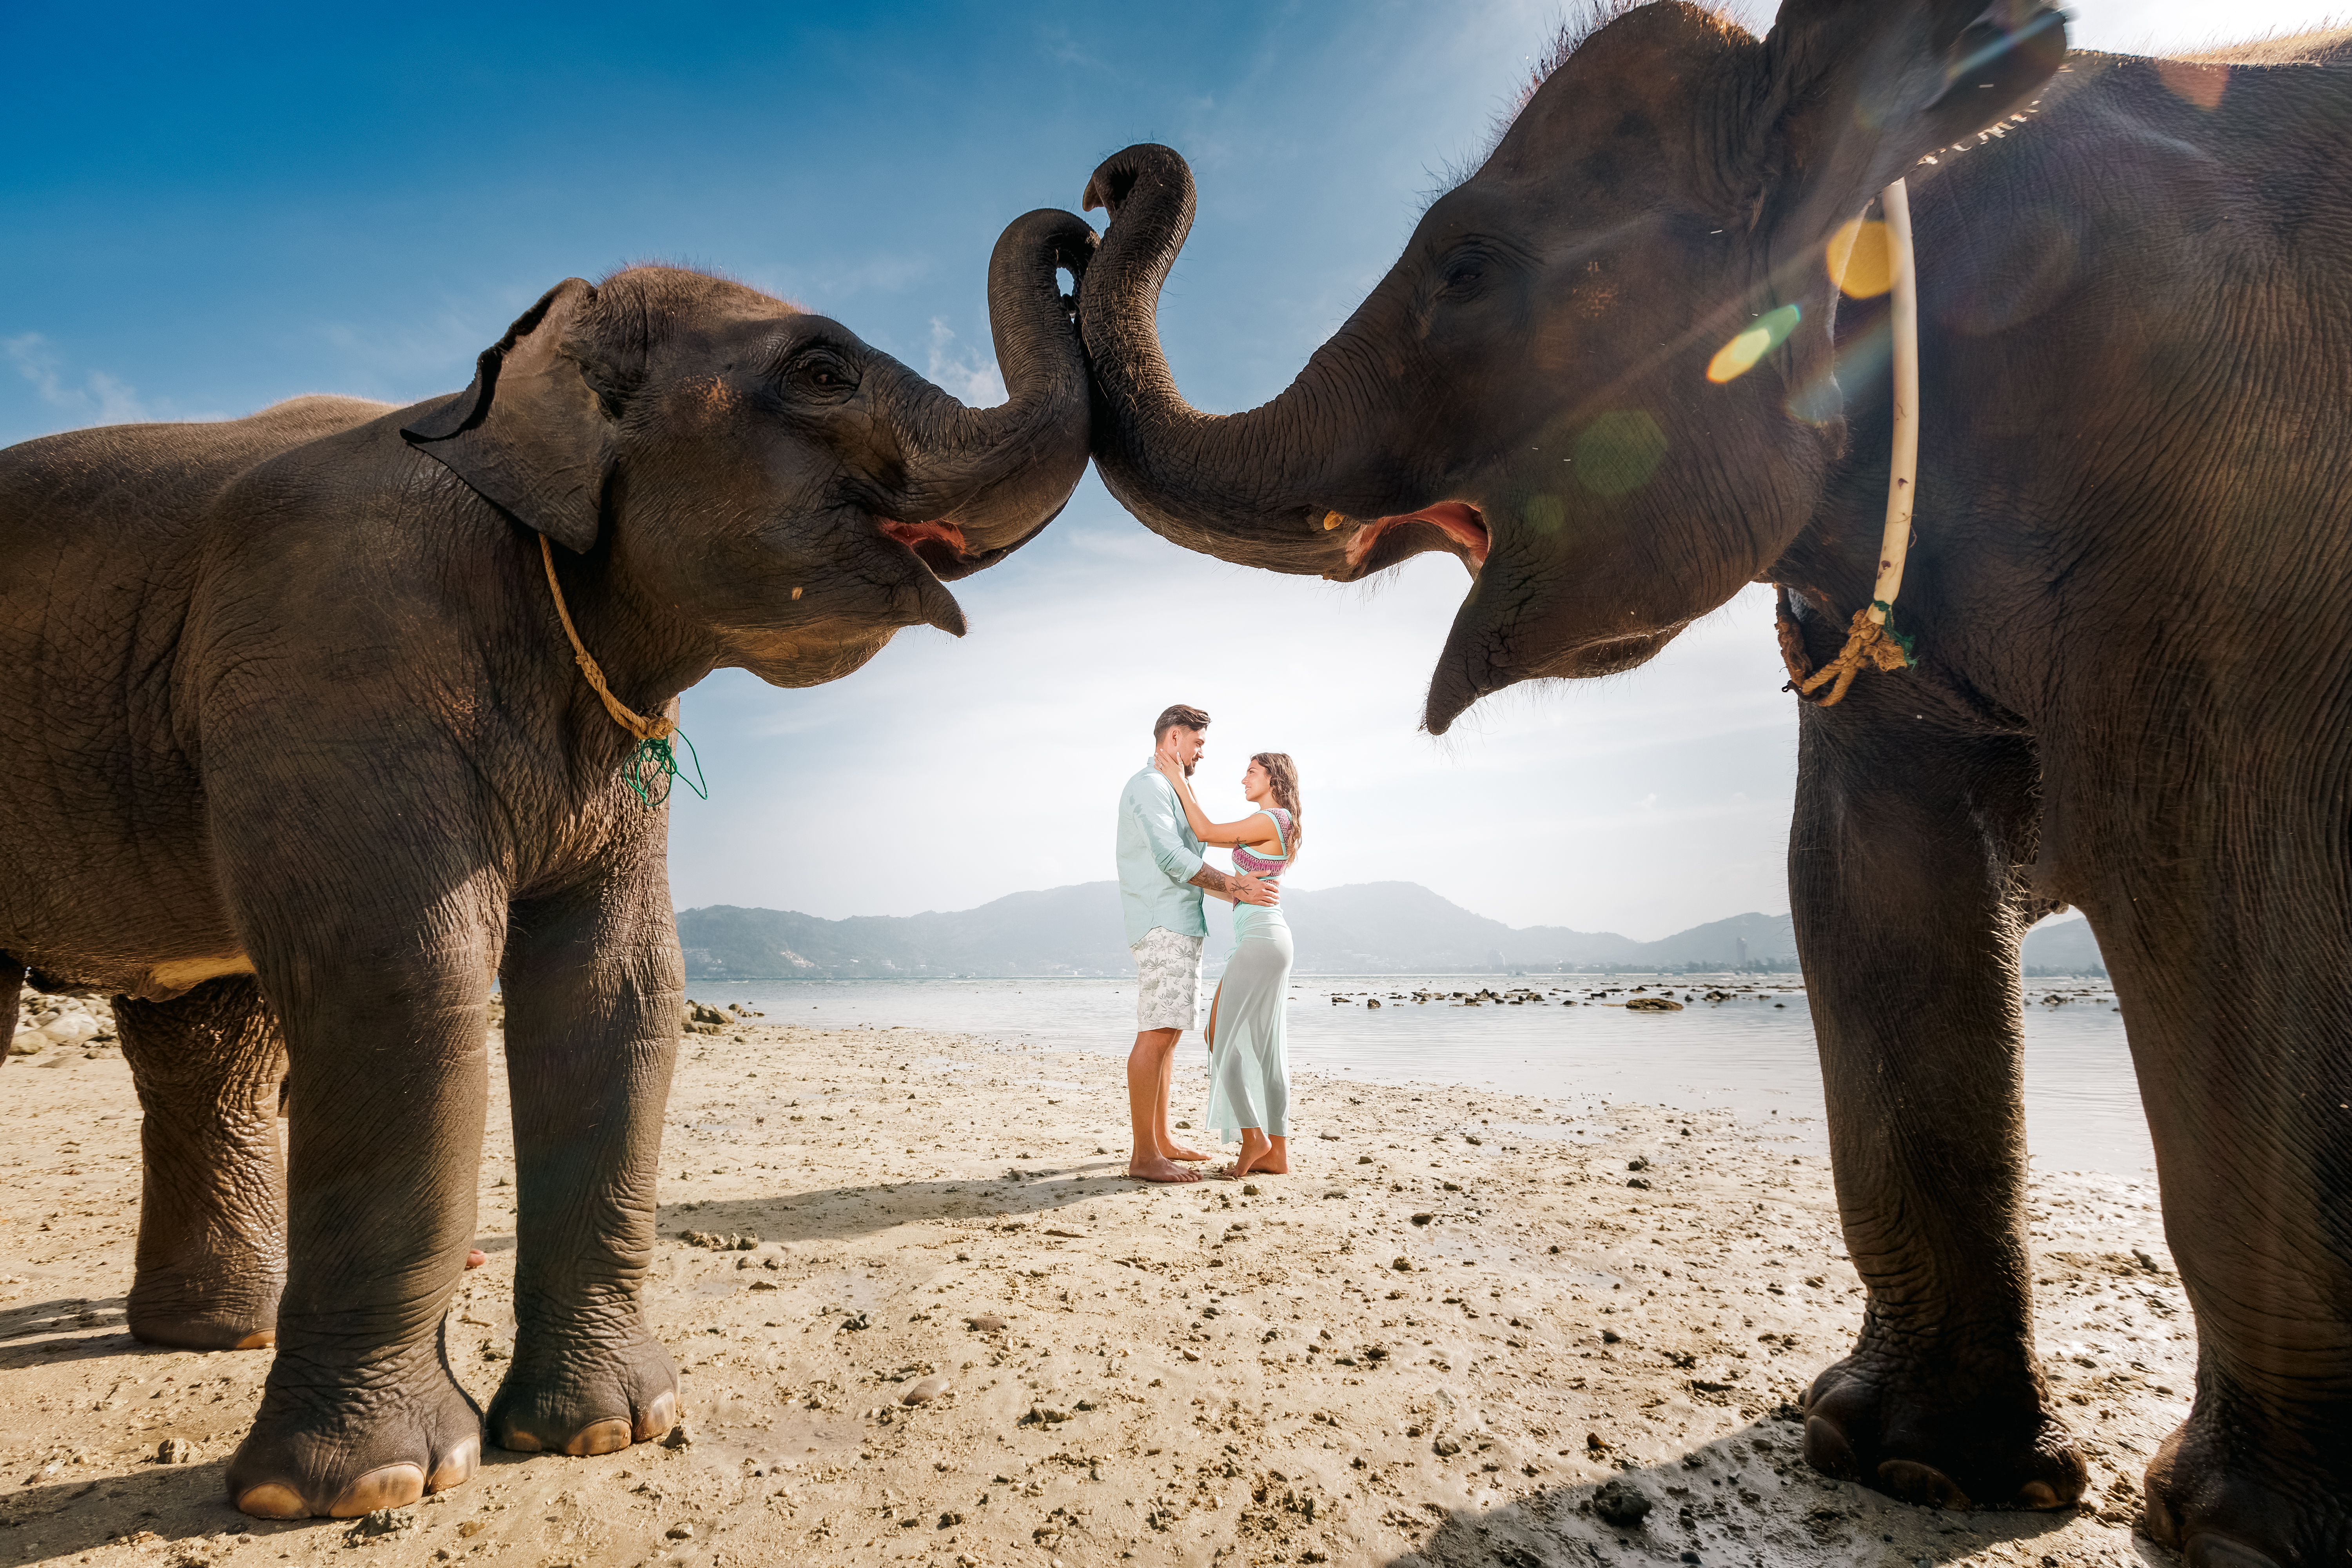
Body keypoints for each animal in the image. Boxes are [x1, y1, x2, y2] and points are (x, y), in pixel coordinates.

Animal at [0, 206, 1094, 1518]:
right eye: (824, 370)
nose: (1089, 222)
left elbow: (614, 989)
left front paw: (608, 1432)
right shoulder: (337, 661)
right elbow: (404, 982)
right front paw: (364, 1489)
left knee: (207, 1045)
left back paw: (219, 1334)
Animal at [1072, 3, 2351, 1561]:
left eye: (1467, 270)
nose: (1096, 196)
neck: (1911, 148)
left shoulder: (2239, 495)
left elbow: (2220, 891)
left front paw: (2233, 1536)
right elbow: (1865, 885)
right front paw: (1910, 1467)